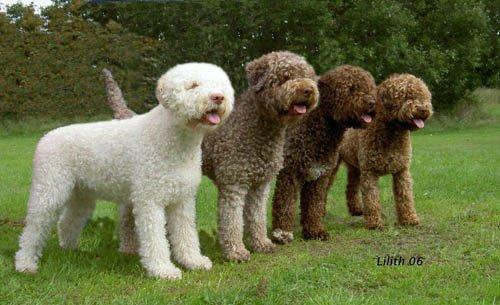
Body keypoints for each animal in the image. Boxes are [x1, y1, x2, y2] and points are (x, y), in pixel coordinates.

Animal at [15, 62, 234, 278]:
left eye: (220, 85)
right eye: (193, 86)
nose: (218, 97)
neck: (171, 138)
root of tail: (45, 137)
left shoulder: (182, 200)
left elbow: (186, 233)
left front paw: (193, 261)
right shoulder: (149, 200)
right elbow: (155, 238)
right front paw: (162, 269)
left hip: (81, 194)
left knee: (67, 221)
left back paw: (70, 249)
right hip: (49, 190)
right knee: (33, 229)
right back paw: (25, 264)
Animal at [270, 64, 376, 242]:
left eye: (369, 88)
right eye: (351, 88)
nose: (372, 102)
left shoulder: (319, 175)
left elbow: (314, 205)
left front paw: (315, 231)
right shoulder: (289, 174)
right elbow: (285, 204)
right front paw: (282, 233)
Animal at [338, 72, 432, 227]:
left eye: (423, 96)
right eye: (407, 96)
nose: (423, 109)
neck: (391, 133)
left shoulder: (402, 171)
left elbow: (405, 196)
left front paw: (409, 218)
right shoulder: (369, 172)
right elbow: (371, 198)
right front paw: (374, 222)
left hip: (355, 168)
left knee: (350, 187)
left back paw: (356, 209)